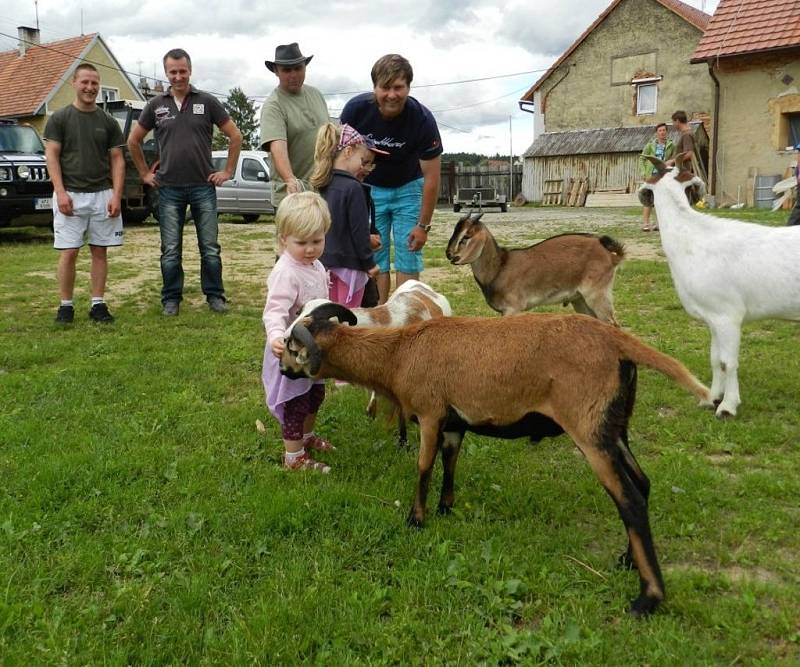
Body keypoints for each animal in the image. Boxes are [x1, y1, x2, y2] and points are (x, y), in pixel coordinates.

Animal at [282, 306, 712, 620]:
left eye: (291, 346)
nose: (283, 369)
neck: (398, 355)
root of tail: (619, 342)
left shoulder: (431, 413)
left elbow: (423, 466)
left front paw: (416, 519)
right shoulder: (455, 423)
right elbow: (450, 461)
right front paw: (446, 507)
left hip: (588, 429)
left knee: (630, 501)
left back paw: (647, 599)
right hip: (614, 426)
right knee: (642, 483)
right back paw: (626, 560)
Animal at [444, 214, 624, 326]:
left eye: (466, 236)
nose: (449, 254)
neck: (499, 267)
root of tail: (611, 256)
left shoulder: (513, 309)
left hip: (597, 293)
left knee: (612, 324)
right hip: (579, 299)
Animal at [640, 157, 800, 418]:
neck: (694, 238)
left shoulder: (728, 316)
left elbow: (728, 361)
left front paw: (727, 406)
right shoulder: (712, 317)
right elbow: (715, 359)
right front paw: (711, 398)